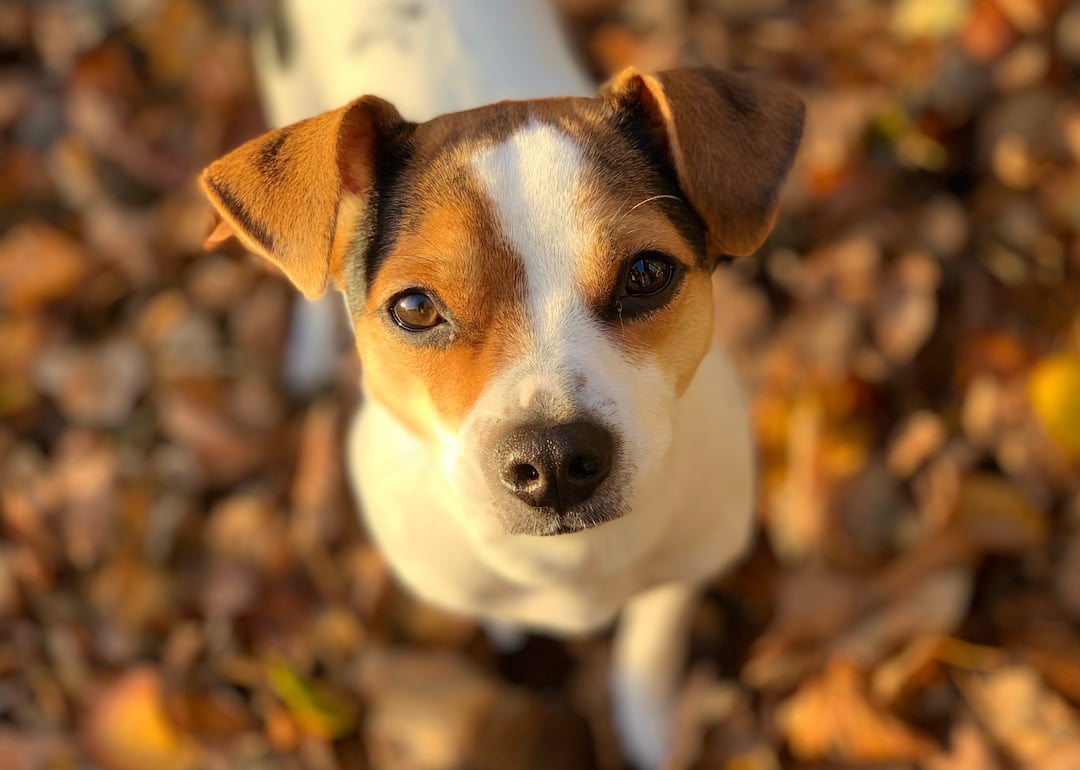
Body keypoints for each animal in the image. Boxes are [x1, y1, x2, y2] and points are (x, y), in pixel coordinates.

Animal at [200, 10, 803, 764]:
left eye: (646, 273)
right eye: (415, 307)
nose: (554, 461)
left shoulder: (691, 562)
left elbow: (650, 641)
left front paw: (648, 727)